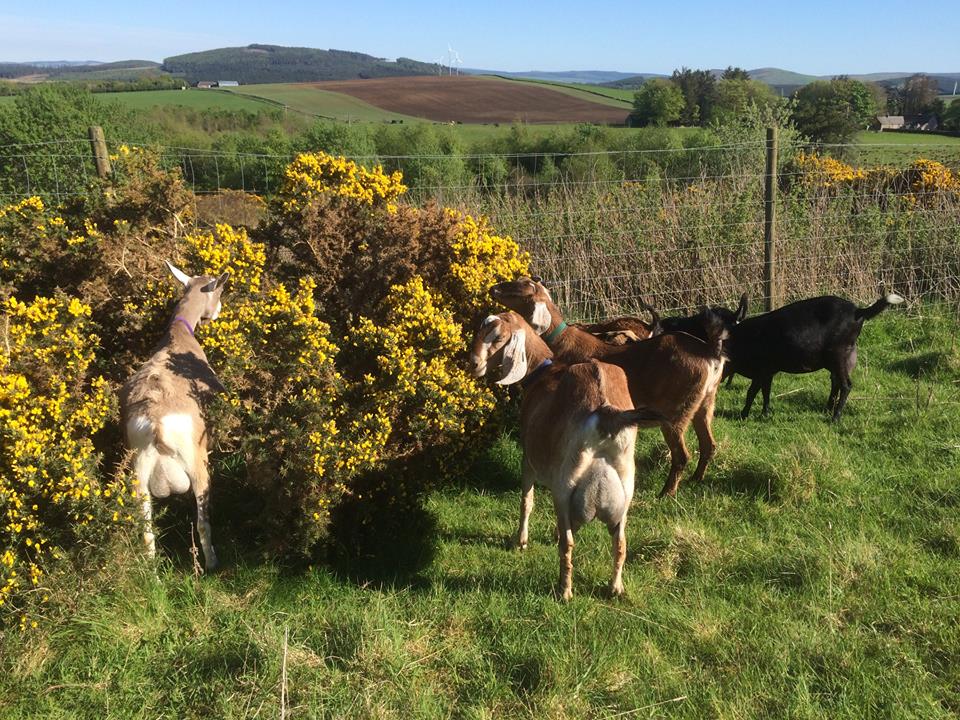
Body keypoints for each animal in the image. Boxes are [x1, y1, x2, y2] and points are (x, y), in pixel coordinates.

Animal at [119, 262, 230, 572]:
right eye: (219, 290)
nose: (216, 312)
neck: (179, 336)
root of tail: (157, 424)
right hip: (197, 465)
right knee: (202, 521)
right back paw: (212, 564)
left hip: (139, 476)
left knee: (146, 529)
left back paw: (152, 573)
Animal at [468, 312, 664, 600]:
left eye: (499, 337)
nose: (474, 363)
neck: (543, 372)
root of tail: (604, 411)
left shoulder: (528, 460)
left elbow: (527, 501)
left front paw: (521, 541)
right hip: (625, 490)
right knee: (620, 542)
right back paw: (615, 587)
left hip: (564, 487)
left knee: (568, 543)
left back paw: (565, 590)